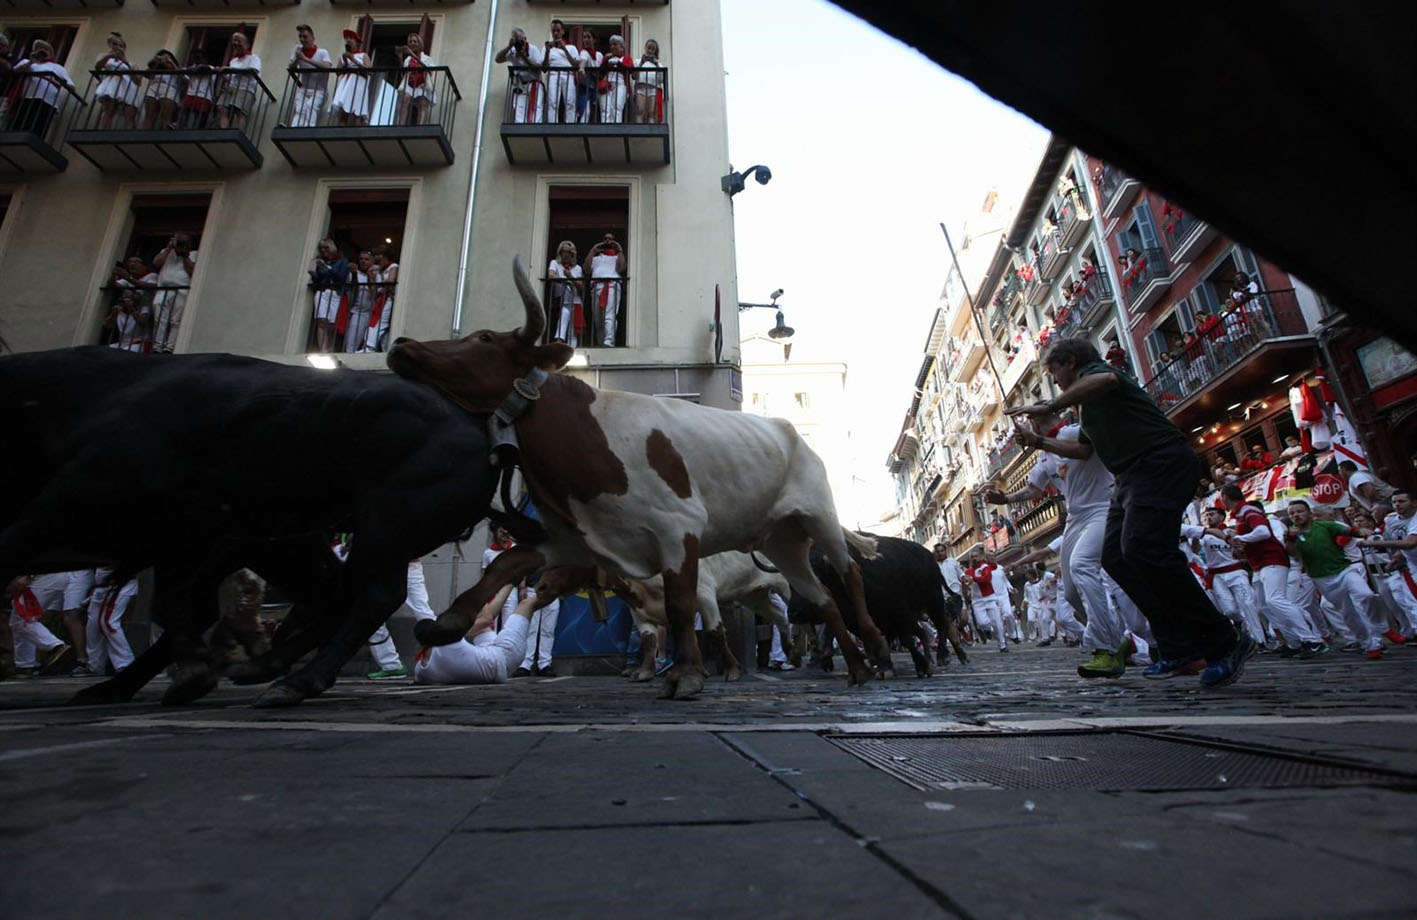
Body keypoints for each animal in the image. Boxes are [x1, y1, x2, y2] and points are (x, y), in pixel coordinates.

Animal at [0, 344, 521, 703]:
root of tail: (480, 431)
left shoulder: (71, 507)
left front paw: (197, 670)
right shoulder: (187, 538)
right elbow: (178, 603)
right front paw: (198, 670)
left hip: (380, 526)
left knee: (366, 594)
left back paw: (294, 677)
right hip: (330, 538)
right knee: (340, 593)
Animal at [388, 256, 889, 697]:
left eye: (485, 338)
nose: (403, 345)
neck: (584, 432)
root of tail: (788, 431)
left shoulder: (679, 531)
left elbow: (682, 606)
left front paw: (686, 676)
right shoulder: (578, 537)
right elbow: (504, 564)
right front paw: (447, 623)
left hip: (819, 517)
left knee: (848, 577)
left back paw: (878, 652)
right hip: (782, 540)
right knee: (822, 599)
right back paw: (856, 666)